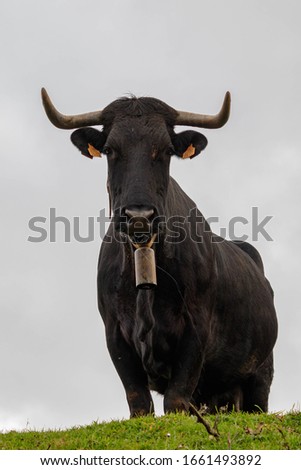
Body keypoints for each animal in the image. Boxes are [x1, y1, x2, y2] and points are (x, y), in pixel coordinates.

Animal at [41, 88, 276, 414]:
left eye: (165, 150)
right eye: (110, 149)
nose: (139, 215)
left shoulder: (196, 329)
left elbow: (176, 400)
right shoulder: (115, 333)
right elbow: (139, 402)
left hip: (260, 373)